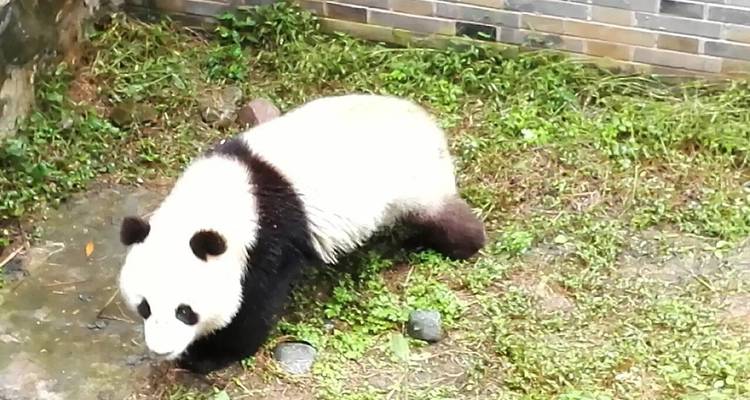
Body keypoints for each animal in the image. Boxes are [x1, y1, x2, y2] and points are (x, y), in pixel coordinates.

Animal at [118, 94, 486, 374]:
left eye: (185, 310)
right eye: (144, 307)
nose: (161, 348)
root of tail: (427, 120)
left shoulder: (267, 237)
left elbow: (254, 305)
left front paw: (208, 355)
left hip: (415, 180)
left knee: (444, 218)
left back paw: (451, 243)